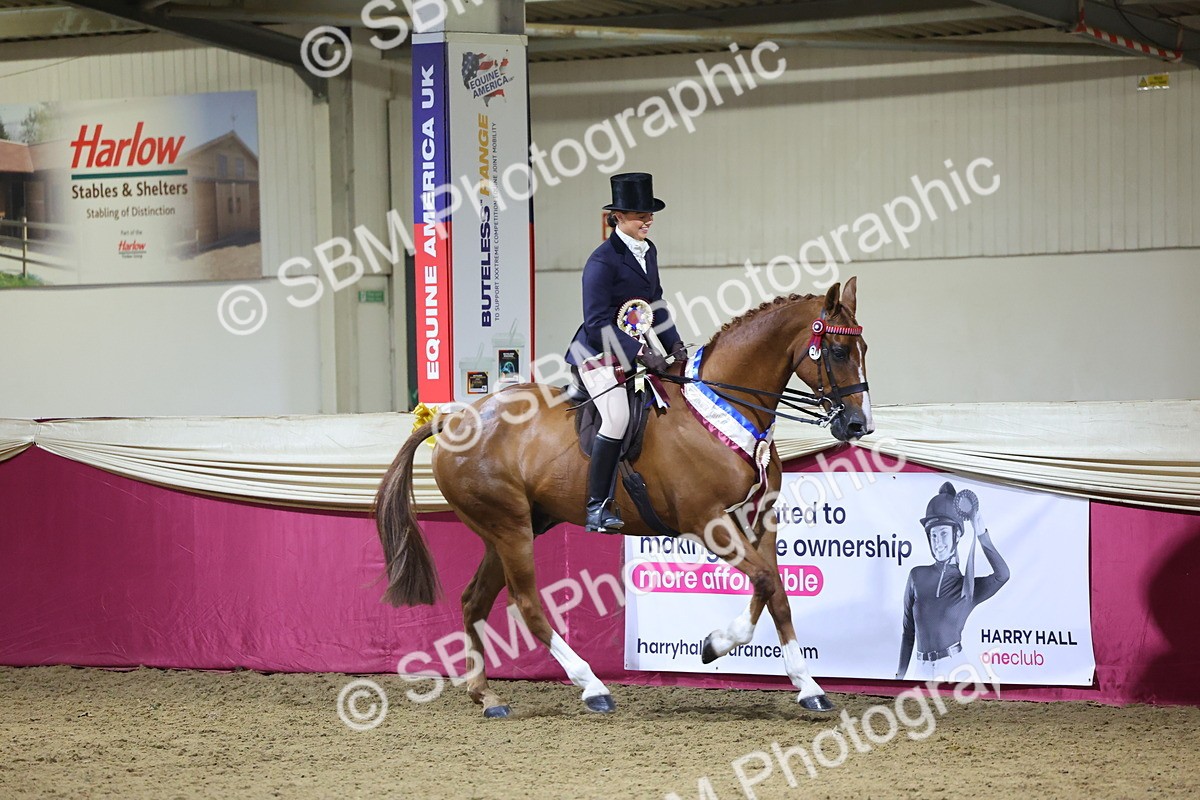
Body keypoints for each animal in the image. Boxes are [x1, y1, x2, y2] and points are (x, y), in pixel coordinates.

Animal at [375, 278, 873, 717]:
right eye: (837, 351)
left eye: (863, 350)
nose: (858, 425)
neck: (726, 407)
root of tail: (454, 420)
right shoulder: (706, 521)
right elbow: (766, 582)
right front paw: (715, 645)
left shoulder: (759, 519)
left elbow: (775, 590)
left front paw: (806, 686)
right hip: (509, 528)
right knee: (527, 603)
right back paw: (592, 686)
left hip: (509, 529)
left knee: (473, 601)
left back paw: (486, 696)